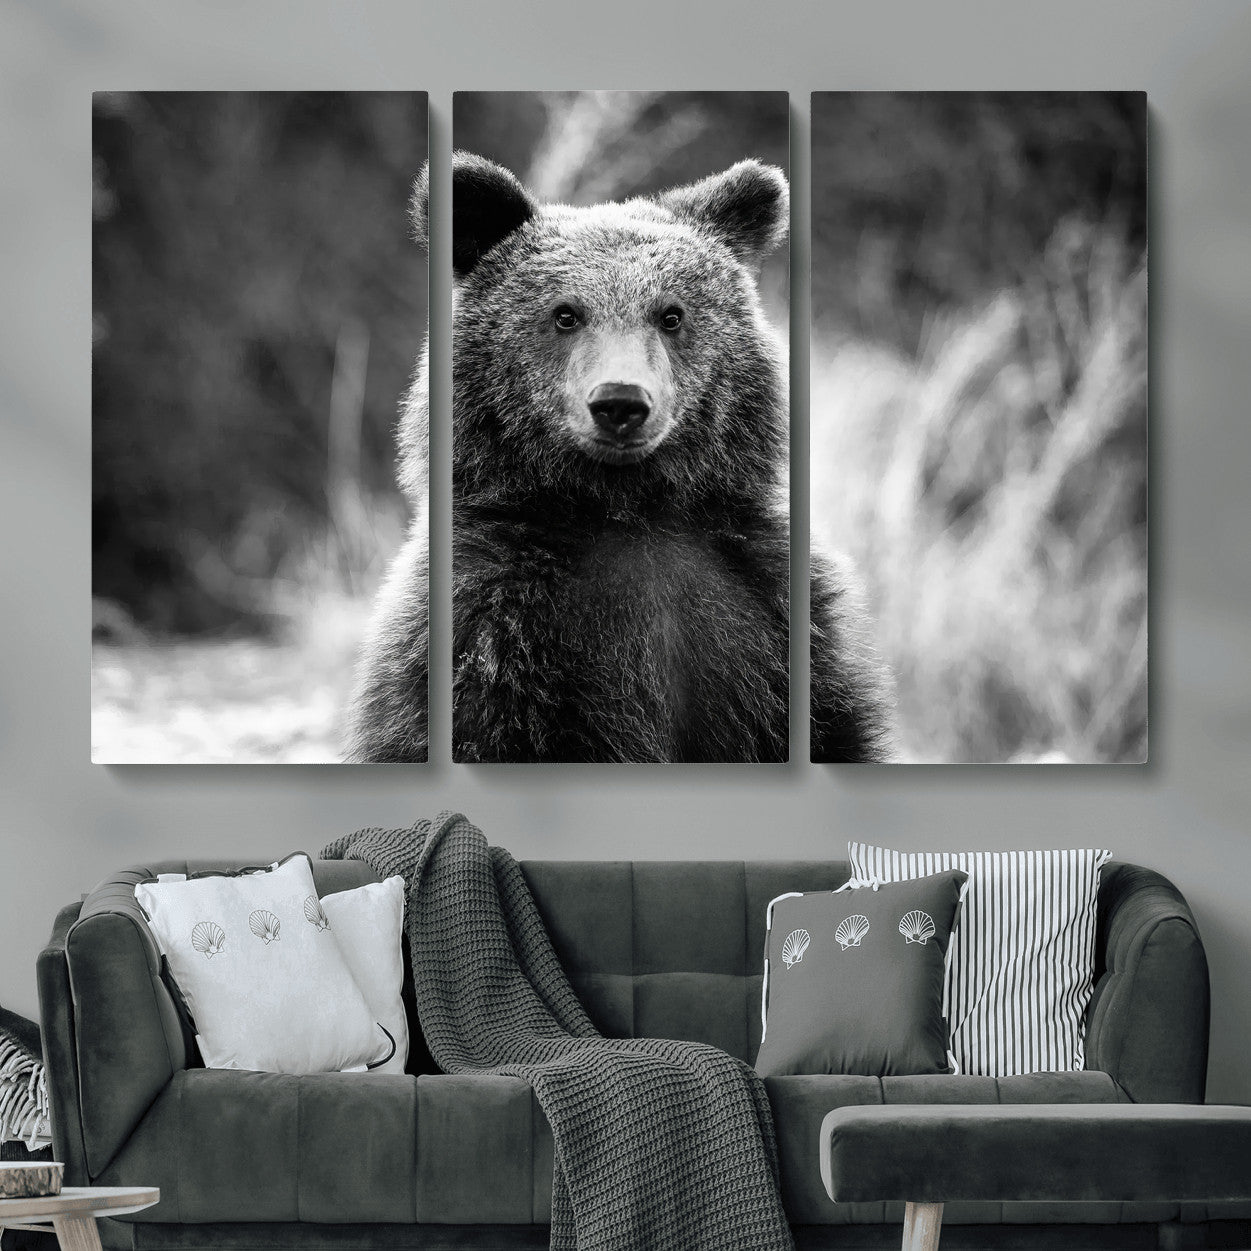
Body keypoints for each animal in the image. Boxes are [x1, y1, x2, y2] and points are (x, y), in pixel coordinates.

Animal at [346, 152, 892, 763]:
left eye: (671, 314)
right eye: (565, 314)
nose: (620, 402)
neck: (625, 508)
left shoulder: (770, 615)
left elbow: (833, 728)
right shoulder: (490, 630)